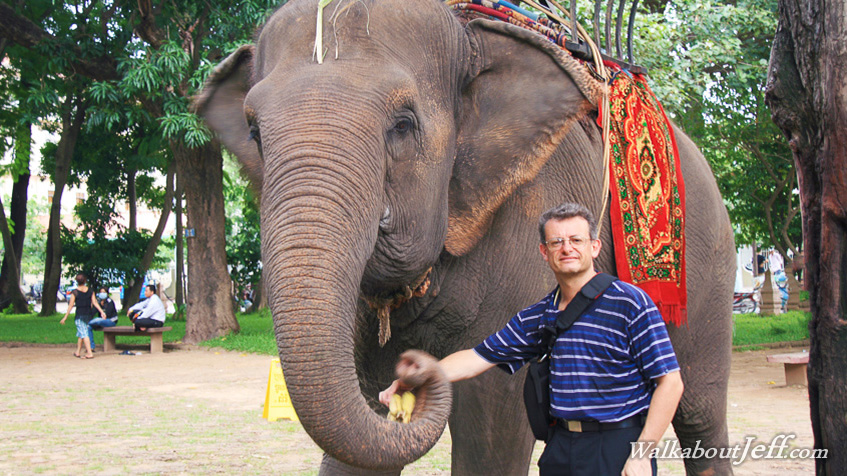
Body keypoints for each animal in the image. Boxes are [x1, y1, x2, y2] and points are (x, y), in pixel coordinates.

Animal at [196, 0, 735, 473]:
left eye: (402, 125)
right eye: (254, 133)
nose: (411, 373)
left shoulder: (527, 216)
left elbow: (492, 425)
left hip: (710, 267)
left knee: (697, 411)